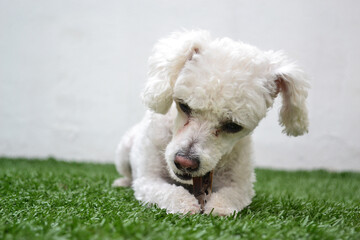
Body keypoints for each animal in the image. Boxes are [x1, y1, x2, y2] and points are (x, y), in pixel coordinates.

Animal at [113, 30, 310, 216]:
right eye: (184, 106)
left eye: (233, 126)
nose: (185, 162)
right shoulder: (148, 179)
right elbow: (167, 192)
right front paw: (185, 205)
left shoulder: (241, 185)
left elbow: (229, 196)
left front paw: (219, 209)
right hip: (124, 151)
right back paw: (122, 182)